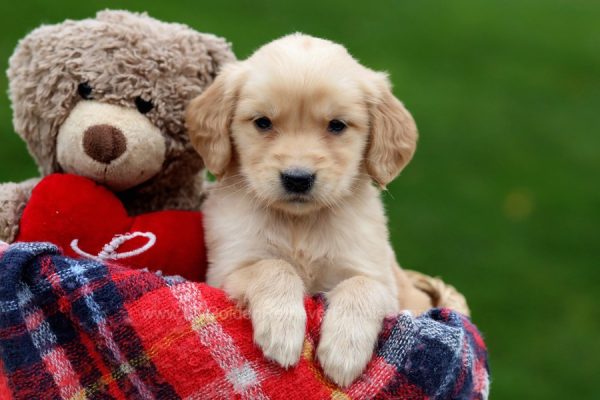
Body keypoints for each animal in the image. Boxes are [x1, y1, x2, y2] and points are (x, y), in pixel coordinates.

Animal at [185, 34, 428, 388]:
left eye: (337, 125)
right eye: (263, 122)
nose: (297, 179)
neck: (301, 223)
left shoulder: (381, 280)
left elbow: (361, 286)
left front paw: (344, 353)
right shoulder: (226, 271)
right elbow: (273, 266)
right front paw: (282, 331)